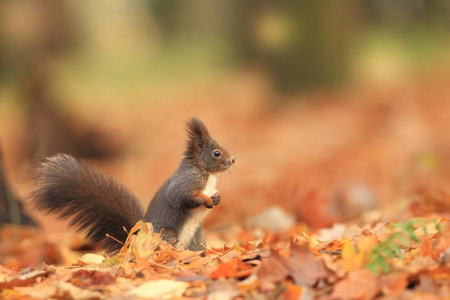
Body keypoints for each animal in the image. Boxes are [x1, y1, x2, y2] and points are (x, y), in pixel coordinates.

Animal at [31, 118, 236, 252]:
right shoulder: (187, 180)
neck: (208, 174)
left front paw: (217, 198)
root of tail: (135, 240)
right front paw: (206, 200)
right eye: (216, 153)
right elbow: (184, 196)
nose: (233, 160)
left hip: (196, 238)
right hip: (166, 235)